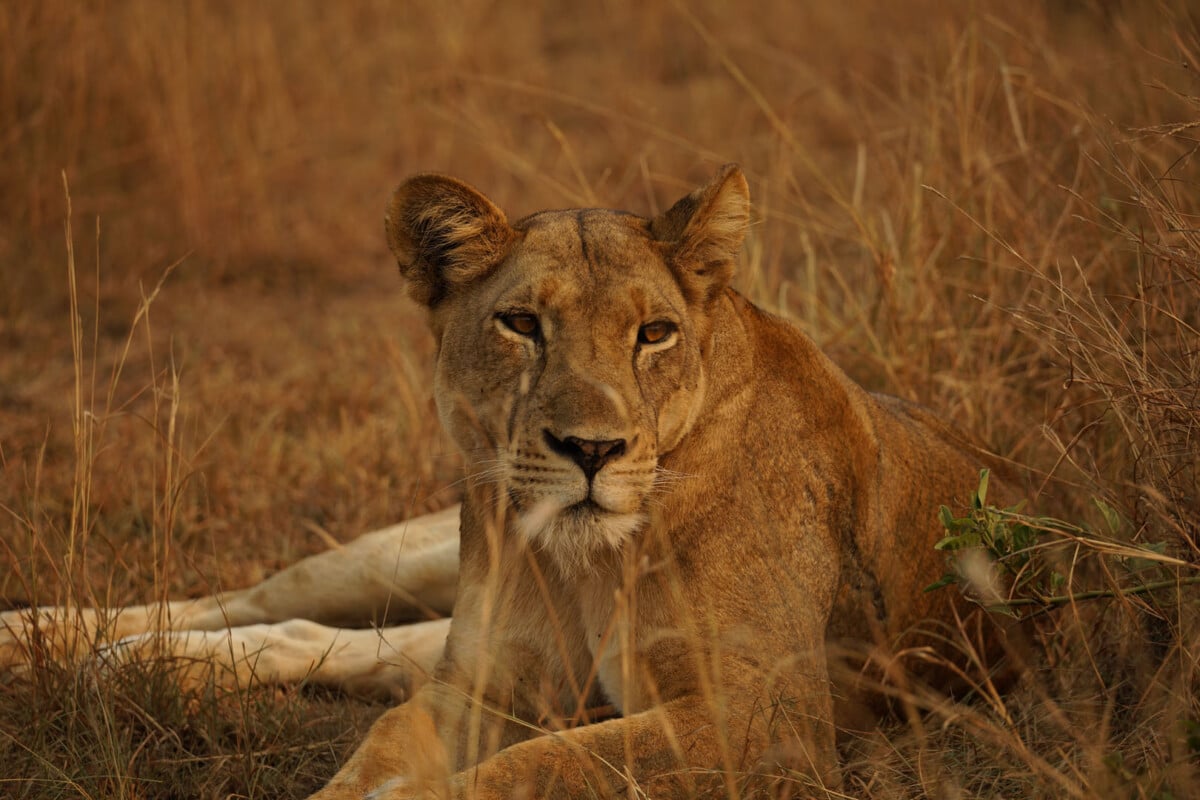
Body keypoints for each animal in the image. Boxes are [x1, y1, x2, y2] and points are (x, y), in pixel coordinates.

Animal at [0, 165, 1012, 796]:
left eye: (654, 333)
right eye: (521, 324)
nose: (591, 450)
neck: (592, 562)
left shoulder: (770, 720)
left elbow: (550, 765)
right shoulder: (481, 687)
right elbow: (385, 747)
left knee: (350, 644)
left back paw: (128, 664)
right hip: (407, 557)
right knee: (269, 599)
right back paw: (56, 640)